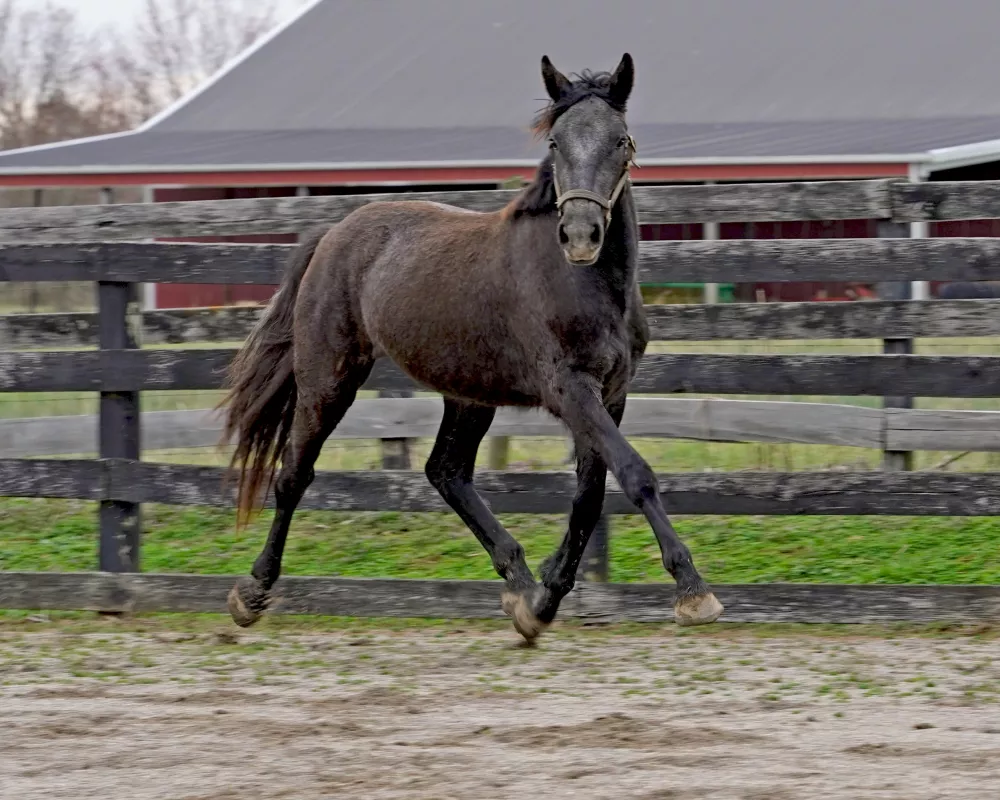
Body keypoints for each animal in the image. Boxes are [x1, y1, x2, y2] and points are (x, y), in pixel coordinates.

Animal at [221, 53, 720, 640]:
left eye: (620, 139)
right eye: (555, 142)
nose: (580, 236)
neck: (588, 285)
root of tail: (331, 235)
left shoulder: (611, 394)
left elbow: (589, 494)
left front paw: (546, 598)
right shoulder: (571, 389)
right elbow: (634, 474)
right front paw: (693, 591)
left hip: (469, 395)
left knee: (446, 472)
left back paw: (521, 588)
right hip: (329, 377)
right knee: (295, 474)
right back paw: (252, 592)